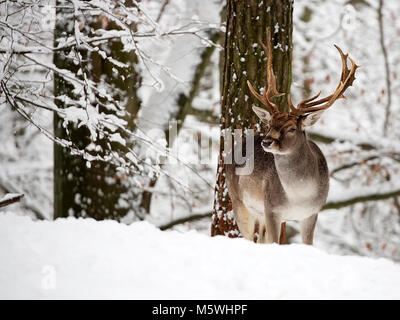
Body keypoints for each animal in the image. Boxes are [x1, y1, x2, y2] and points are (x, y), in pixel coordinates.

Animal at [225, 29, 360, 245]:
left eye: (291, 129)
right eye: (270, 124)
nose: (267, 141)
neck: (299, 197)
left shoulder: (312, 212)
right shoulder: (272, 208)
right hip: (239, 201)